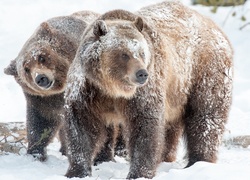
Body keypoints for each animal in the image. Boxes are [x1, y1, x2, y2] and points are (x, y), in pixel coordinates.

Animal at [3, 10, 99, 160]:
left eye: (41, 57)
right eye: (26, 69)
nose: (41, 78)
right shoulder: (42, 99)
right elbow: (41, 122)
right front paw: (36, 151)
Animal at [63, 1, 233, 179]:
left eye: (142, 52)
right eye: (124, 54)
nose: (141, 73)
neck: (113, 89)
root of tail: (214, 26)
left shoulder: (142, 93)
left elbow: (145, 127)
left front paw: (138, 173)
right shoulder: (89, 91)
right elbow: (81, 126)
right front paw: (77, 170)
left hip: (204, 73)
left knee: (205, 118)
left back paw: (199, 161)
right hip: (175, 94)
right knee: (171, 127)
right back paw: (166, 157)